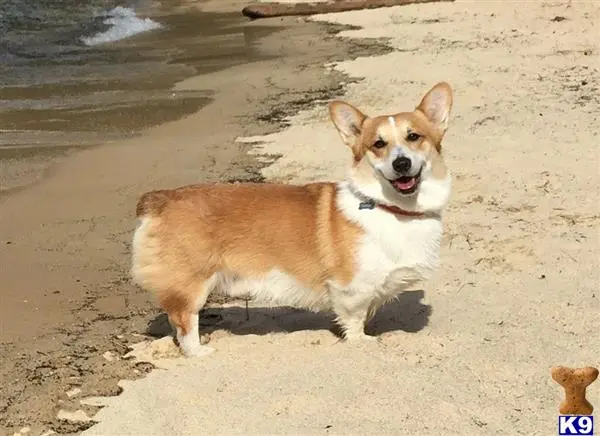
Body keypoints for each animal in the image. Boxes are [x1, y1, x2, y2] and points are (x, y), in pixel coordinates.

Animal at [131, 82, 450, 358]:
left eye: (414, 136)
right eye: (378, 144)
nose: (401, 163)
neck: (392, 209)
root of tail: (160, 199)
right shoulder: (351, 288)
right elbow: (354, 320)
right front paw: (361, 343)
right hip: (194, 283)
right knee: (184, 320)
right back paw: (199, 352)